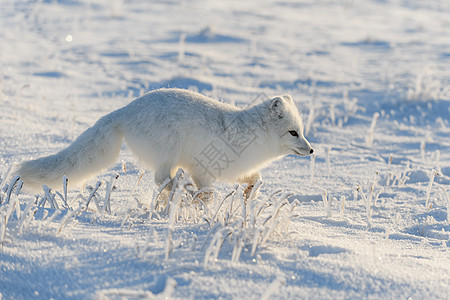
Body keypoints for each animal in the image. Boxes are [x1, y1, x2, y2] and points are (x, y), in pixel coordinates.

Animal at [16, 88, 312, 193]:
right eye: (293, 133)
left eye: (301, 131)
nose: (311, 150)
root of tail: (125, 110)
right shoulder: (201, 168)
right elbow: (206, 191)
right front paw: (201, 203)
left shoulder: (233, 170)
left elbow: (256, 178)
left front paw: (250, 193)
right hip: (169, 149)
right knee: (161, 178)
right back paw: (178, 190)